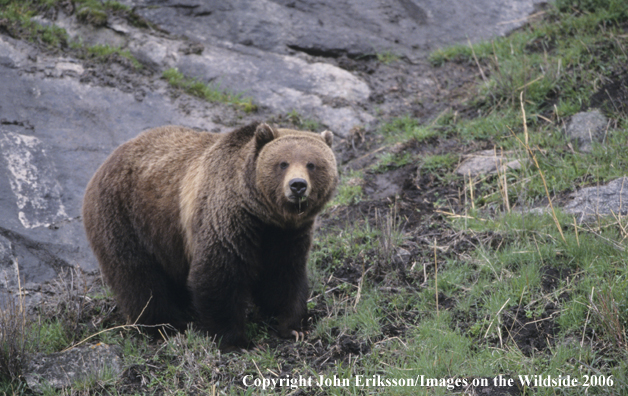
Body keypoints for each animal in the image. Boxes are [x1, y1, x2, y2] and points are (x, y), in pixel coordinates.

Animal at [84, 122, 338, 348]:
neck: (263, 214)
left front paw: (293, 327)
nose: (297, 185)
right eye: (282, 163)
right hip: (126, 217)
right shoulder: (227, 218)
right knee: (139, 278)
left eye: (312, 164)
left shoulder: (286, 234)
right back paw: (165, 326)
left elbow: (283, 275)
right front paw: (236, 340)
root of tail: (108, 160)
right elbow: (218, 274)